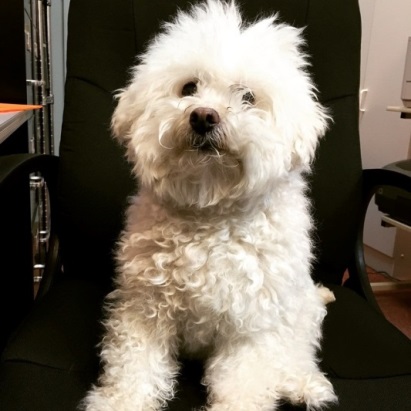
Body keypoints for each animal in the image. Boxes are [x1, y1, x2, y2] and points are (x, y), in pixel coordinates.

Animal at [83, 0, 338, 411]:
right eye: (189, 87)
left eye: (248, 97)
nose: (203, 116)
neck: (209, 211)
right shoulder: (144, 309)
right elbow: (135, 365)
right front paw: (120, 401)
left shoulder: (252, 325)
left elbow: (246, 381)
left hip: (299, 310)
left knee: (295, 352)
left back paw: (303, 384)